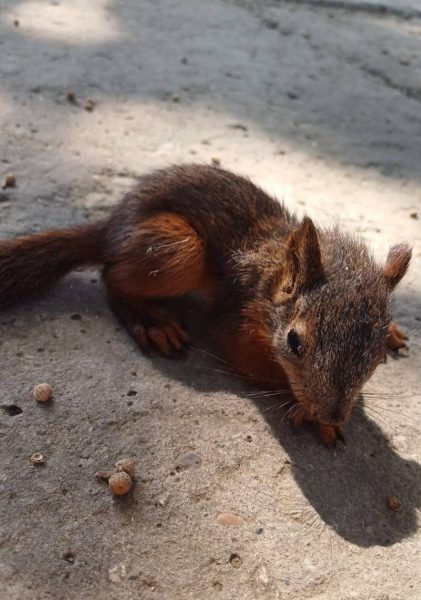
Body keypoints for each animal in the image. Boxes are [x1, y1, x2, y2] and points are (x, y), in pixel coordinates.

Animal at [0, 164, 410, 446]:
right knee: (111, 276)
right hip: (179, 249)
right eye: (294, 342)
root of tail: (114, 224)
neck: (273, 276)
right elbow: (254, 364)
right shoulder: (234, 317)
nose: (333, 412)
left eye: (376, 357)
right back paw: (152, 321)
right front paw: (306, 412)